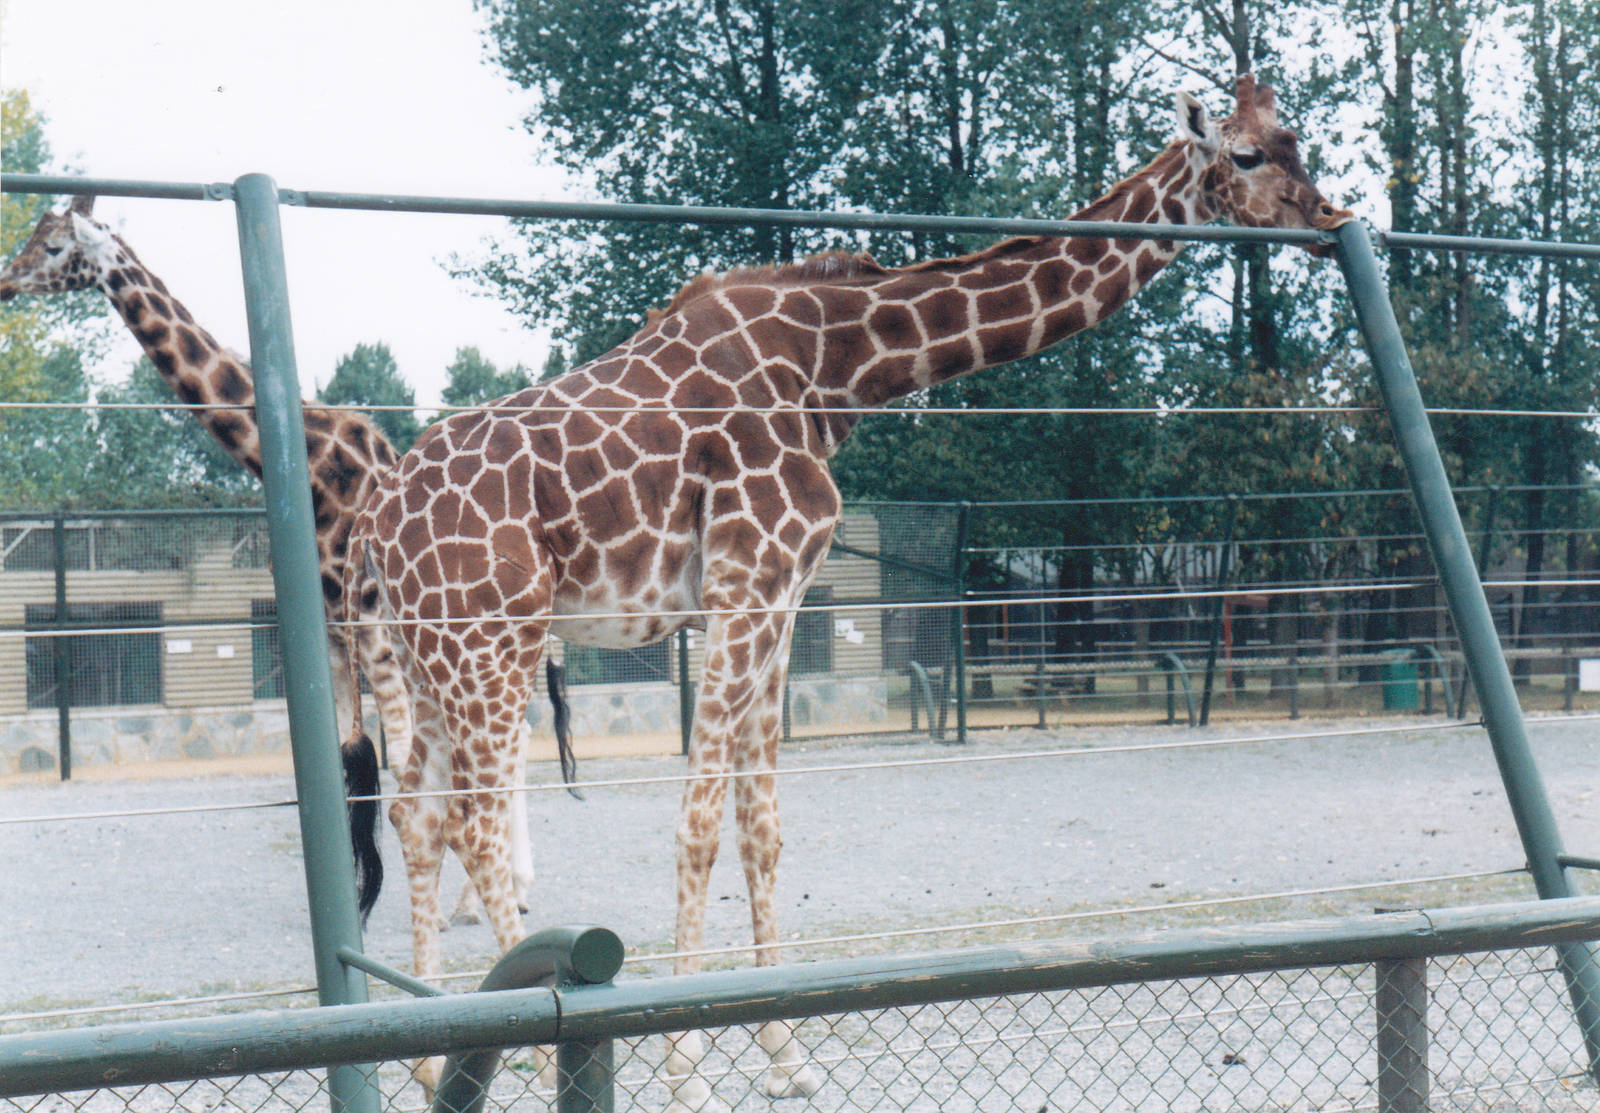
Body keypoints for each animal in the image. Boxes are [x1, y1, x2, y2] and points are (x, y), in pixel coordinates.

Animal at [0, 196, 566, 920]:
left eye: (52, 248)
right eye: (33, 237)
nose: (5, 281)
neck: (313, 466)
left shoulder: (373, 634)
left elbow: (397, 756)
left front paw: (422, 899)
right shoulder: (328, 638)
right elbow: (346, 760)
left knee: (508, 738)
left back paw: (492, 892)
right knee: (509, 737)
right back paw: (505, 889)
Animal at [346, 74, 1350, 1108]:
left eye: (1297, 139)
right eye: (1248, 155)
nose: (1329, 218)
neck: (840, 367)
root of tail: (377, 525)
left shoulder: (782, 593)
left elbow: (762, 825)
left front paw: (786, 1056)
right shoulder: (748, 579)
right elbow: (699, 820)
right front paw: (686, 1069)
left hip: (429, 658)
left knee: (418, 815)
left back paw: (428, 1051)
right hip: (492, 642)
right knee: (475, 822)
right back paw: (530, 1045)